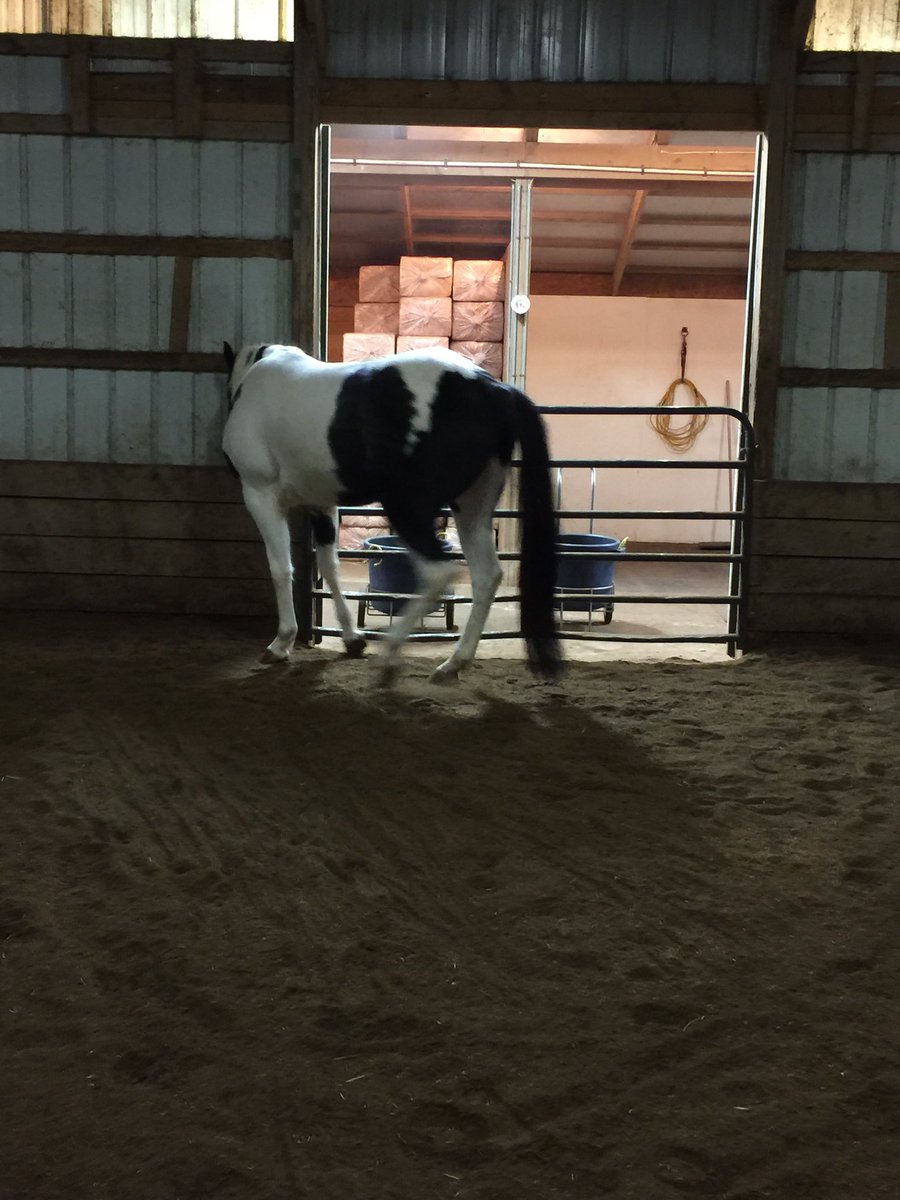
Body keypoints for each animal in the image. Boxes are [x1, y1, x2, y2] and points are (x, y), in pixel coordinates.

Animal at [222, 342, 562, 685]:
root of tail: (496, 390)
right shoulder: (322, 504)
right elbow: (330, 568)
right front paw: (352, 639)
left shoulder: (261, 496)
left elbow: (280, 569)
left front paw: (281, 643)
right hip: (472, 508)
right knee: (486, 577)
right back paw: (453, 663)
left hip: (406, 508)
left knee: (439, 574)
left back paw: (390, 655)